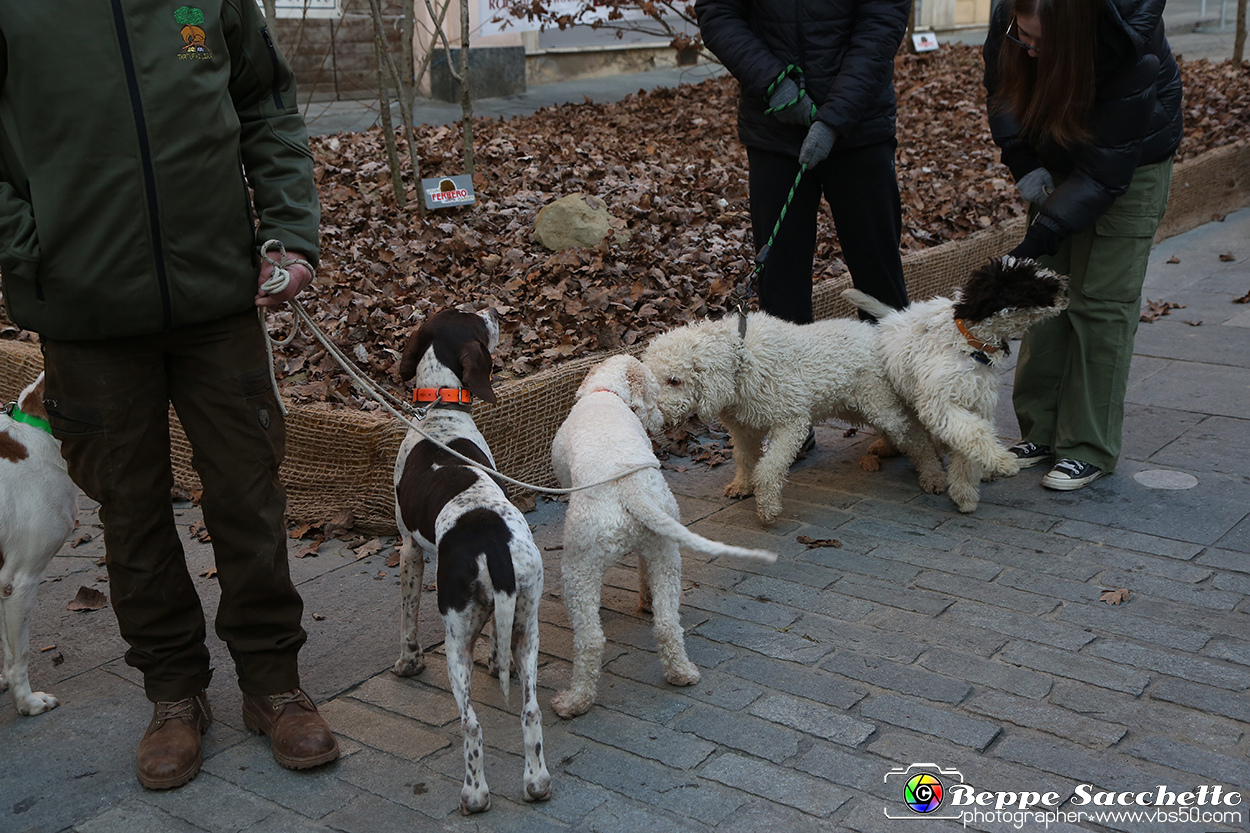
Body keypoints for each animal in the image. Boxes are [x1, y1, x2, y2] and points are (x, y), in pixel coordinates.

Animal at [387, 305, 550, 810]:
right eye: (474, 319)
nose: (496, 310)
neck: (442, 411)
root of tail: (491, 542)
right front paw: (495, 664)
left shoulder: (409, 550)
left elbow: (407, 618)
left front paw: (407, 662)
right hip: (528, 621)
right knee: (531, 712)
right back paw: (536, 782)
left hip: (455, 636)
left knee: (471, 723)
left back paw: (474, 793)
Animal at [552, 352, 775, 715]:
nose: (660, 422)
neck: (608, 393)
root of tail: (629, 489)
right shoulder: (652, 545)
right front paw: (646, 601)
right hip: (666, 550)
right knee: (669, 622)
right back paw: (681, 673)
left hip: (579, 565)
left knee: (590, 639)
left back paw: (573, 702)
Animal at [640, 311, 940, 520]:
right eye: (653, 379)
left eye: (675, 380)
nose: (656, 416)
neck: (741, 362)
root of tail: (885, 336)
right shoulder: (743, 428)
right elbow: (745, 458)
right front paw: (742, 485)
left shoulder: (790, 422)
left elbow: (768, 469)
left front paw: (768, 507)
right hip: (859, 405)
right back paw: (888, 447)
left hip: (879, 402)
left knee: (915, 436)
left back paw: (932, 474)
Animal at [845, 255, 1070, 512]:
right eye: (1028, 279)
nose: (1065, 286)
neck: (970, 345)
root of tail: (894, 317)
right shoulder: (940, 405)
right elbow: (976, 434)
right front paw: (1003, 463)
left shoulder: (977, 404)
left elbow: (970, 446)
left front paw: (964, 492)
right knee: (908, 435)